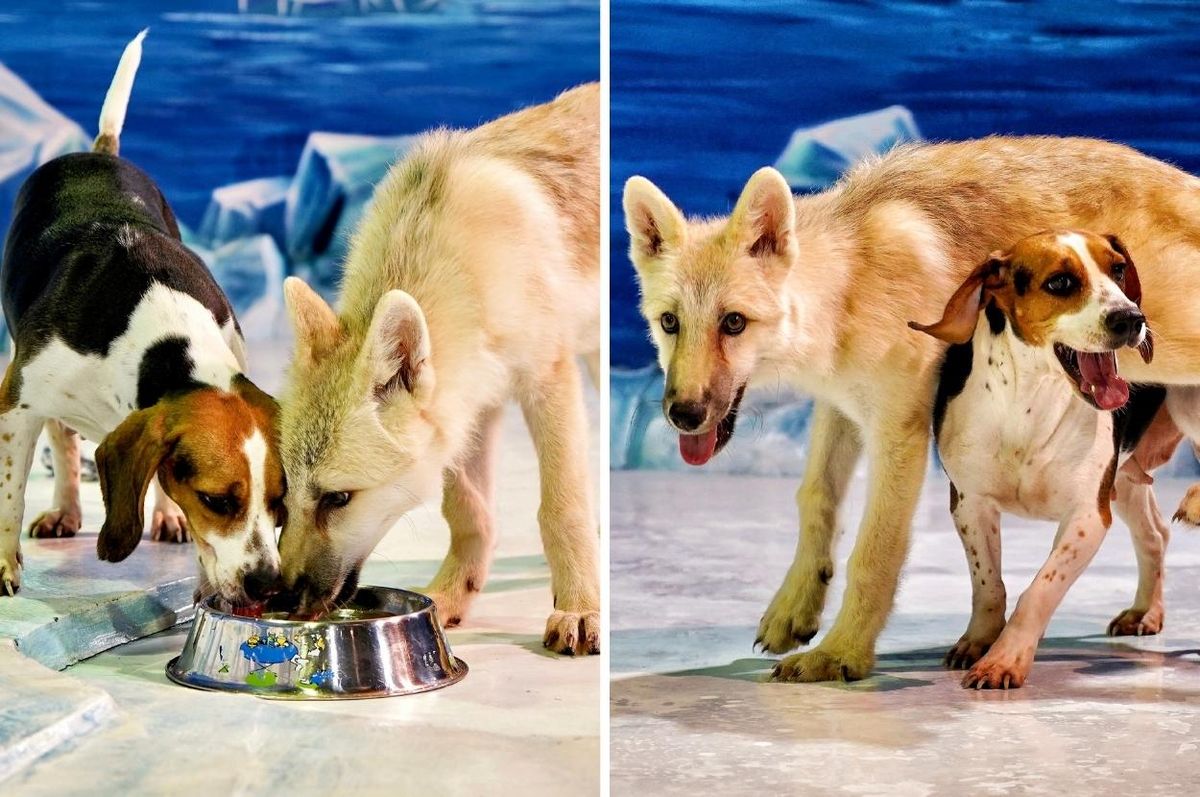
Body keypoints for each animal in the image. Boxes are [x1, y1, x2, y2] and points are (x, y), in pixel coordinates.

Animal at [277, 84, 601, 655]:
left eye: (338, 499)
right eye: (285, 493)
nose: (279, 598)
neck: (465, 269)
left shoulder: (546, 380)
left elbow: (561, 508)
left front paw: (580, 608)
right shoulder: (471, 406)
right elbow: (469, 512)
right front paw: (452, 594)